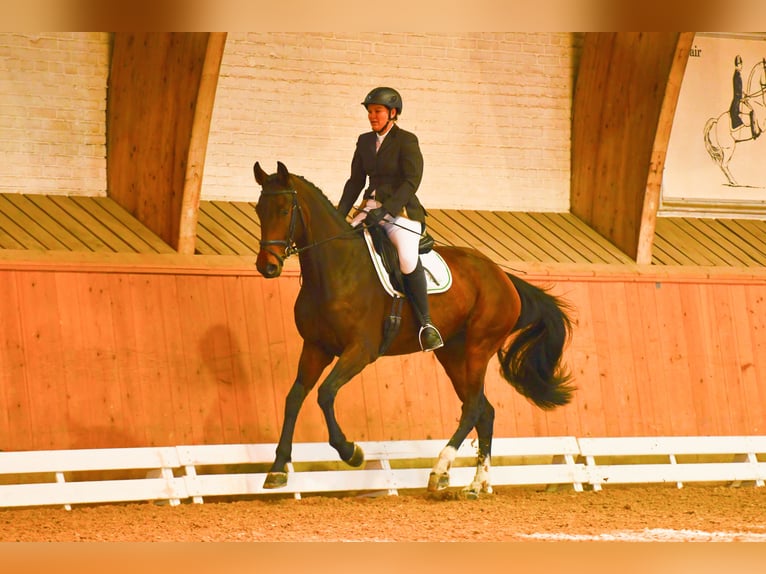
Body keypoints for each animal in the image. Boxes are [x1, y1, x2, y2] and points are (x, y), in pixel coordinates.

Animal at [252, 162, 576, 500]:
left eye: (285, 209)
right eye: (260, 209)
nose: (267, 267)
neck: (336, 269)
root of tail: (503, 276)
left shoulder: (361, 350)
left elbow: (326, 393)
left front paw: (350, 451)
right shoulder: (316, 347)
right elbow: (294, 398)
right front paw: (277, 470)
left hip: (479, 347)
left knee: (474, 408)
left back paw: (440, 470)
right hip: (452, 354)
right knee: (484, 410)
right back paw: (476, 484)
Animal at [704, 58, 764, 187]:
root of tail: (716, 121)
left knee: (723, 165)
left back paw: (732, 182)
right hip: (729, 148)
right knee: (724, 164)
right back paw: (735, 182)